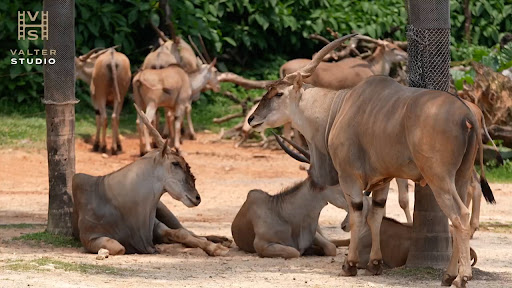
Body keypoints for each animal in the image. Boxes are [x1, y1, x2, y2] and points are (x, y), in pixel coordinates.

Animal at [72, 104, 230, 256]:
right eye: (176, 163)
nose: (197, 198)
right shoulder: (89, 238)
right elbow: (119, 247)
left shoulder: (156, 227)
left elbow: (182, 233)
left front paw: (216, 248)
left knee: (189, 231)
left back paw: (223, 240)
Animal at [248, 36, 496, 288]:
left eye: (278, 94)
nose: (252, 119)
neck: (338, 108)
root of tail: (467, 116)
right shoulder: (383, 180)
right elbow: (376, 215)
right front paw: (374, 264)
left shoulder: (349, 177)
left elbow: (357, 214)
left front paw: (350, 265)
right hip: (460, 176)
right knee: (461, 210)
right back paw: (448, 275)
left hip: (440, 179)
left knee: (460, 215)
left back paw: (461, 277)